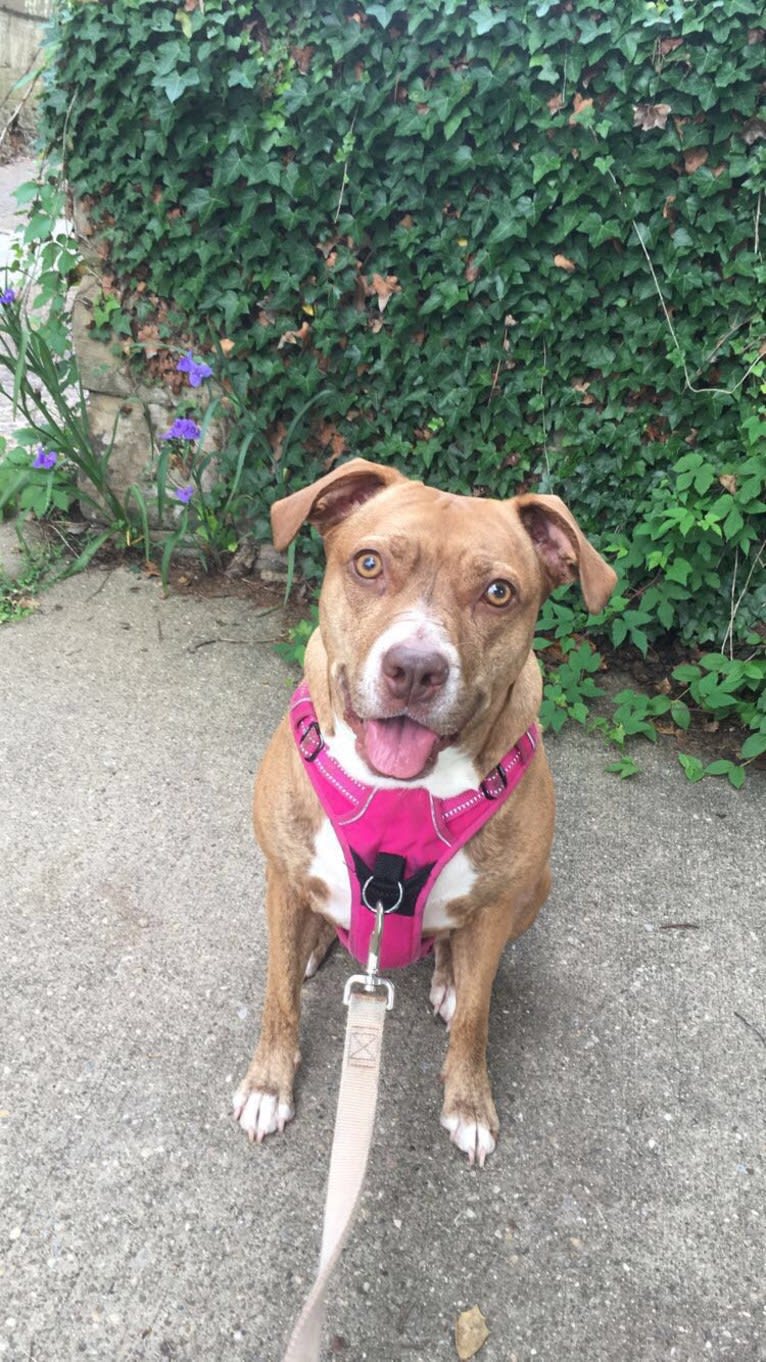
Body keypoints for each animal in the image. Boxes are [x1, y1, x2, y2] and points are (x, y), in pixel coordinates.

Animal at [233, 457, 613, 1160]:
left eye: (498, 592)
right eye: (369, 563)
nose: (414, 669)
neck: (402, 793)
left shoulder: (496, 905)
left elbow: (477, 1020)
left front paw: (468, 1103)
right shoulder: (281, 873)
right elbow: (278, 999)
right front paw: (269, 1085)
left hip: (534, 889)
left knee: (459, 957)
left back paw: (449, 976)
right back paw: (313, 943)